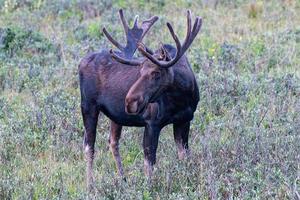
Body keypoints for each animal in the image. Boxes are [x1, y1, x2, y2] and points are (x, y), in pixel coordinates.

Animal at [78, 9, 203, 188]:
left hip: (115, 116)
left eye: (156, 73)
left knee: (113, 141)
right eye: (140, 70)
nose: (130, 101)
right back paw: (90, 185)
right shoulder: (152, 123)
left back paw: (122, 178)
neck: (181, 99)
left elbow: (184, 155)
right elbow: (149, 162)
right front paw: (150, 187)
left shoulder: (184, 120)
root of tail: (81, 62)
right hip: (88, 106)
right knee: (89, 146)